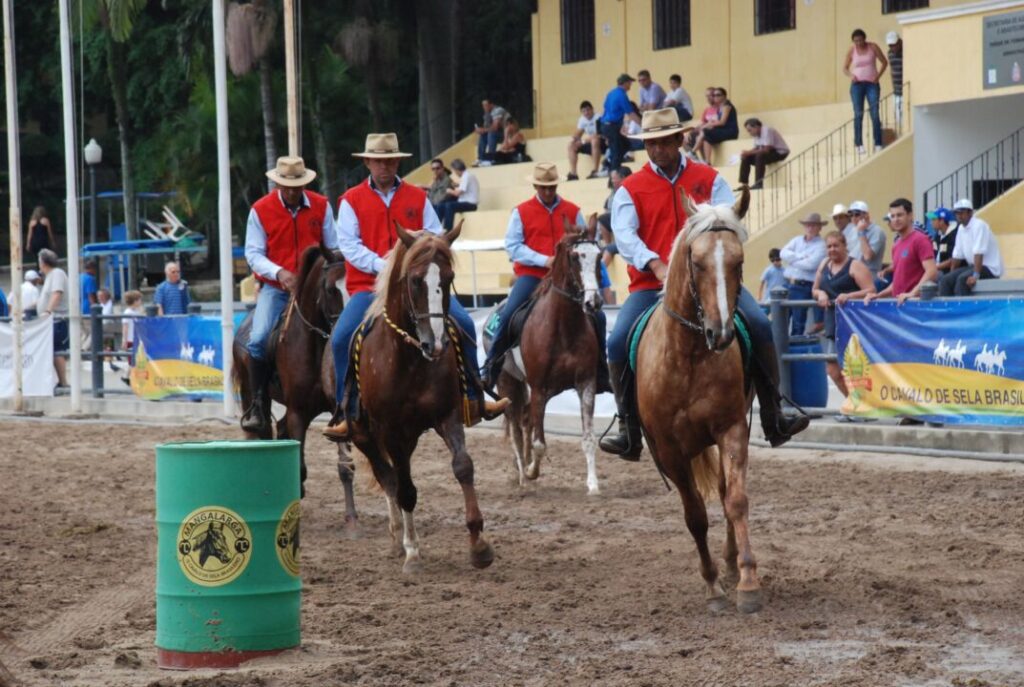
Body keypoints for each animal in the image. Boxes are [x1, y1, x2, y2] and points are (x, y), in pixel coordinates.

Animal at [233, 245, 360, 534]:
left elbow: (345, 467)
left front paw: (351, 517)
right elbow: (299, 465)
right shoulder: (298, 413)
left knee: (280, 430)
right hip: (252, 396)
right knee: (262, 432)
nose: (346, 332)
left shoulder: (337, 413)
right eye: (330, 289)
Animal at [337, 221, 494, 573]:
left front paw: (478, 544)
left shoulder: (448, 416)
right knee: (389, 478)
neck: (409, 360)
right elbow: (405, 489)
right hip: (365, 435)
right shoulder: (391, 431)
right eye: (414, 280)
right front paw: (412, 553)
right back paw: (399, 540)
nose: (434, 344)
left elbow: (463, 467)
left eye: (448, 277)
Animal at [496, 215, 604, 494]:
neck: (563, 327)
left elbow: (588, 438)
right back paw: (522, 475)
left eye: (599, 256)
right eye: (575, 256)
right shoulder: (538, 387)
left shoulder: (586, 383)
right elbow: (539, 443)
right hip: (508, 386)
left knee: (525, 419)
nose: (594, 302)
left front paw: (593, 484)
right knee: (516, 428)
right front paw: (531, 471)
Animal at [633, 189, 765, 614]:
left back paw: (731, 563)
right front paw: (712, 586)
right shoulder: (669, 449)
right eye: (697, 261)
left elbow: (736, 501)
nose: (720, 333)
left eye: (739, 261)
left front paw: (747, 581)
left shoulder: (732, 428)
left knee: (724, 495)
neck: (688, 356)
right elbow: (694, 516)